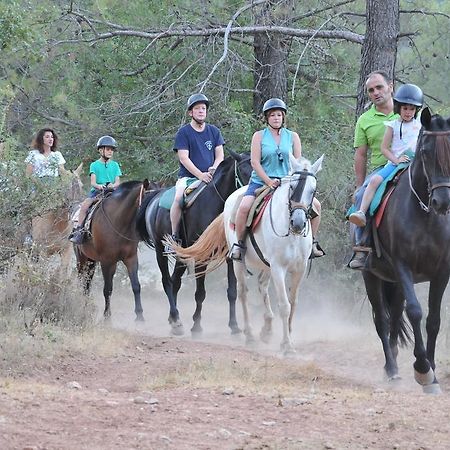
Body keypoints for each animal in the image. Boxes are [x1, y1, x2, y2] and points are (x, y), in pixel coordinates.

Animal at [74, 178, 149, 320]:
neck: (119, 222)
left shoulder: (131, 259)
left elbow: (136, 286)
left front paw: (140, 317)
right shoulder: (107, 261)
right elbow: (107, 289)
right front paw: (107, 317)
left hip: (92, 260)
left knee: (88, 283)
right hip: (82, 259)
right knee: (82, 281)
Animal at [135, 150, 251, 334]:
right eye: (244, 172)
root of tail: (155, 198)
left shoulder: (230, 256)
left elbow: (232, 291)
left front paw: (234, 326)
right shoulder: (201, 257)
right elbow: (200, 292)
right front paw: (196, 325)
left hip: (181, 255)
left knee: (175, 281)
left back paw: (172, 318)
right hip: (161, 251)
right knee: (167, 282)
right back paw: (176, 321)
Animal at [167, 156, 322, 356]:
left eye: (313, 190)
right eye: (292, 187)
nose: (298, 222)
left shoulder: (299, 269)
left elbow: (293, 303)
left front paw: (287, 338)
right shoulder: (278, 268)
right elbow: (284, 305)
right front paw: (286, 345)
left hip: (264, 264)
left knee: (261, 286)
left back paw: (266, 329)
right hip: (238, 262)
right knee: (241, 293)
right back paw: (248, 335)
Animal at [360, 107, 450, 392]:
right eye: (426, 151)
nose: (442, 201)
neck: (426, 215)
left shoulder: (442, 272)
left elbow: (433, 320)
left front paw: (432, 373)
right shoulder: (403, 267)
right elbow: (415, 312)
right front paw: (422, 369)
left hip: (395, 283)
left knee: (394, 318)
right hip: (372, 275)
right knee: (382, 320)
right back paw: (391, 369)